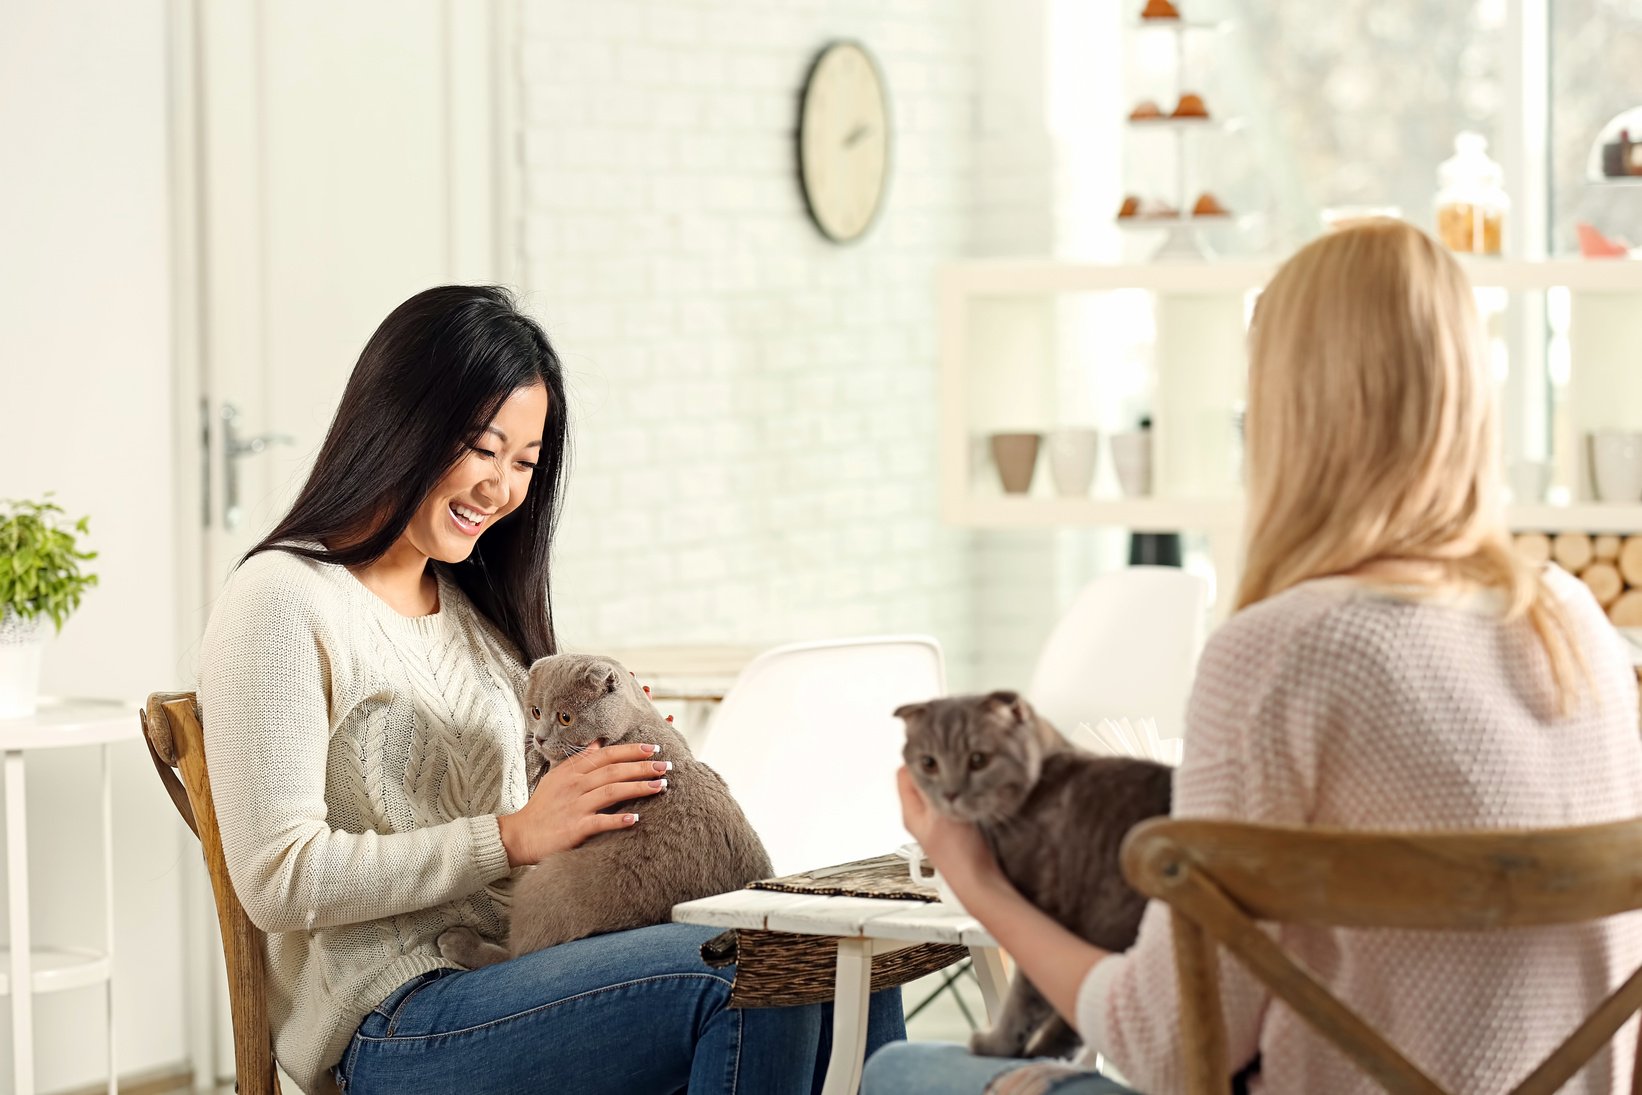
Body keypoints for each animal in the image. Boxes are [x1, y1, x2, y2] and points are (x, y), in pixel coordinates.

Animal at [433, 656, 771, 965]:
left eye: (565, 718)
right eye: (536, 711)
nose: (540, 737)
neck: (636, 723)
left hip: (548, 881)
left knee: (517, 954)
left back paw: (458, 941)